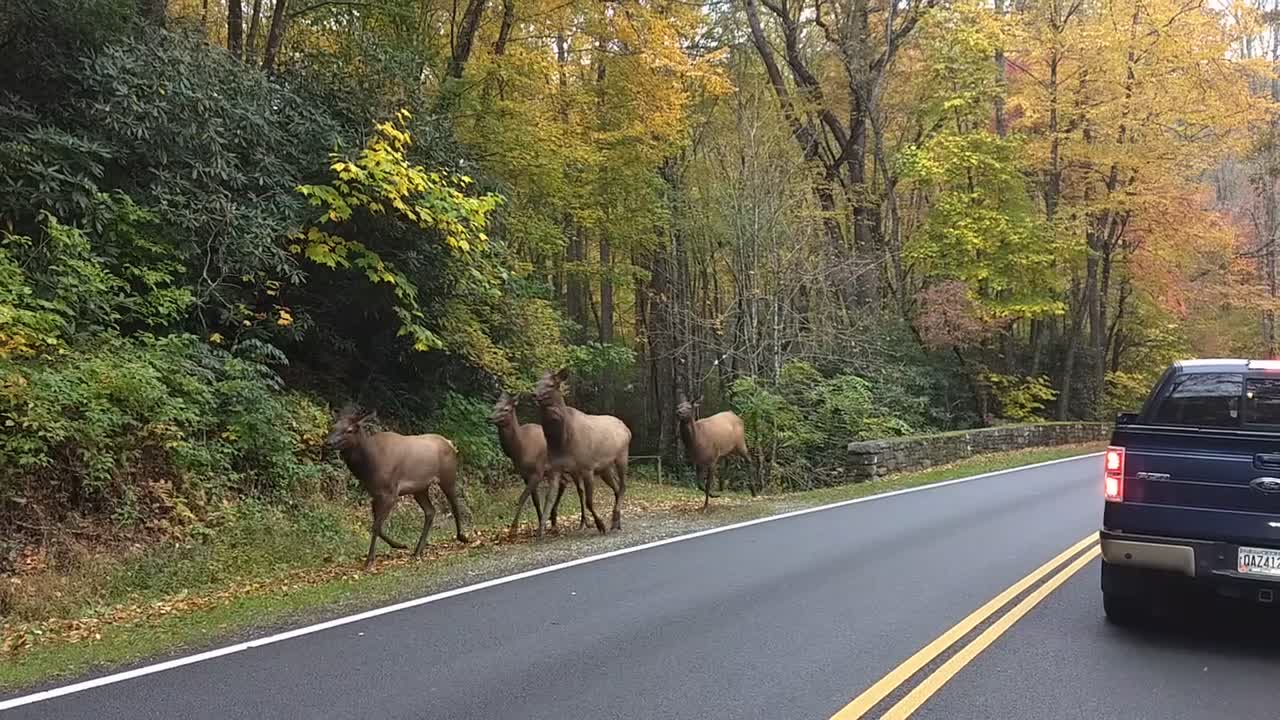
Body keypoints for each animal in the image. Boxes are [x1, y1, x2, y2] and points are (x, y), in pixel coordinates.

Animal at [325, 404, 471, 566]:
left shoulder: (390, 493)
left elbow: (376, 526)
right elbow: (376, 525)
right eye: (333, 427)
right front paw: (400, 545)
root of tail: (451, 443)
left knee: (454, 503)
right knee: (430, 511)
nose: (328, 442)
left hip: (448, 476)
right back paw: (417, 551)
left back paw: (462, 537)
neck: (369, 466)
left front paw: (369, 561)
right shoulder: (375, 494)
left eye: (349, 430)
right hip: (420, 488)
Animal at [488, 389, 586, 535]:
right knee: (564, 483)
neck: (519, 449)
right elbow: (535, 501)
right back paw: (554, 521)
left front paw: (513, 530)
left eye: (506, 409)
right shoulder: (525, 475)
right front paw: (540, 523)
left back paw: (583, 522)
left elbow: (522, 498)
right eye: (494, 406)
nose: (489, 417)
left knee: (580, 489)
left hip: (574, 465)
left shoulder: (537, 472)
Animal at [529, 366, 629, 530]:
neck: (561, 441)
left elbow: (589, 501)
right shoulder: (556, 468)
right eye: (537, 382)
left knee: (622, 486)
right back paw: (616, 522)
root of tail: (627, 429)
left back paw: (614, 520)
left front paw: (600, 525)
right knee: (616, 487)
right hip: (604, 467)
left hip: (622, 456)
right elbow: (548, 500)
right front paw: (541, 529)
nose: (534, 394)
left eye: (552, 384)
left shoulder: (587, 467)